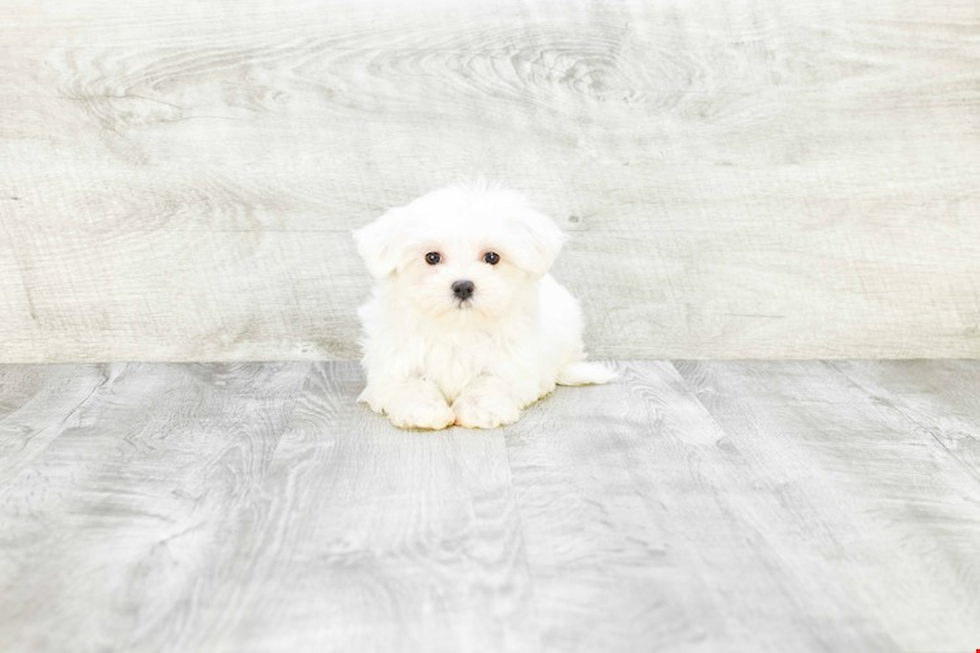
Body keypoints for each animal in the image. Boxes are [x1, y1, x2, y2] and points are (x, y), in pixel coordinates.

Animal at [352, 181, 612, 430]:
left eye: (492, 257)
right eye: (432, 257)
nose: (463, 286)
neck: (458, 329)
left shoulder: (513, 361)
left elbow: (490, 381)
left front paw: (480, 410)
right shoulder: (392, 361)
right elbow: (409, 383)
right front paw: (424, 411)